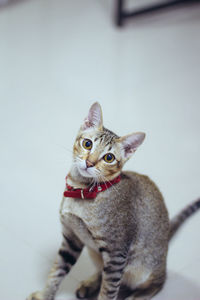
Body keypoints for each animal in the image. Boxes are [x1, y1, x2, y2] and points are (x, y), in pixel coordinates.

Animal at [27, 102, 200, 300]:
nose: (89, 163)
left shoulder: (116, 253)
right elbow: (57, 271)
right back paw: (90, 284)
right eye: (87, 144)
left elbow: (108, 292)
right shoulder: (71, 238)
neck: (82, 191)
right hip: (96, 253)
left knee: (158, 282)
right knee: (104, 272)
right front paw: (44, 295)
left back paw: (137, 295)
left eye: (109, 158)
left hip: (142, 270)